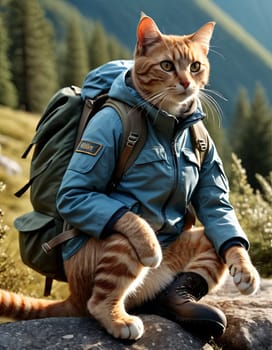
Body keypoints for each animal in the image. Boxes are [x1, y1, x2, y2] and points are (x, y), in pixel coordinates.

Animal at [0, 15, 260, 340]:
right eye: (166, 65)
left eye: (195, 66)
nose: (187, 83)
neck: (169, 125)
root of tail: (72, 294)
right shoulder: (86, 188)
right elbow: (109, 208)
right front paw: (150, 246)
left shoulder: (212, 187)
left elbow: (218, 209)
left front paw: (246, 270)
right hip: (118, 246)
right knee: (100, 295)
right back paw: (120, 319)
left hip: (198, 246)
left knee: (215, 240)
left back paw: (177, 304)